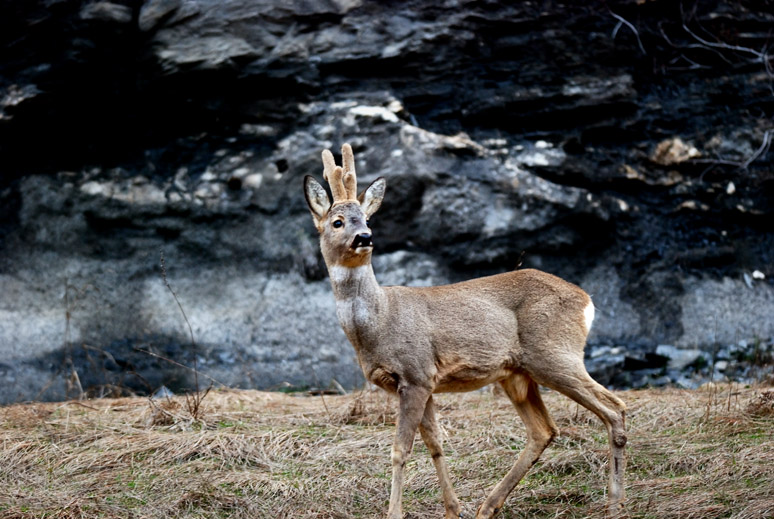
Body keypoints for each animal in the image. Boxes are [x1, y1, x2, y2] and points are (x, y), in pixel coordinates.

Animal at [304, 143, 632, 519]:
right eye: (338, 221)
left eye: (367, 219)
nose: (365, 237)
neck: (380, 321)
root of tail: (587, 301)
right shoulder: (425, 381)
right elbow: (435, 443)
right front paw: (453, 509)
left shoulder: (415, 373)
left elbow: (401, 449)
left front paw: (395, 513)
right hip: (517, 374)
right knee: (544, 430)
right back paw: (488, 506)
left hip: (555, 354)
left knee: (614, 407)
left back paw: (615, 503)